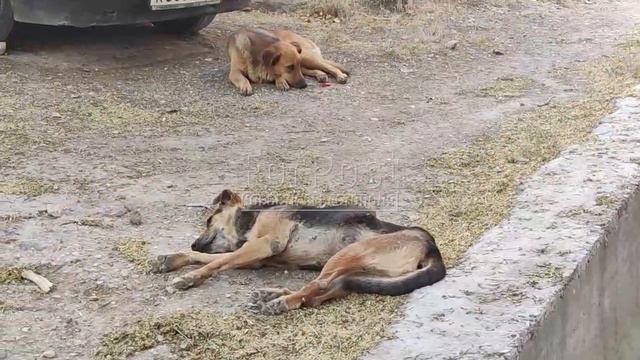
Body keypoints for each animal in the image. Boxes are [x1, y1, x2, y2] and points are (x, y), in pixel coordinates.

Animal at [153, 190, 448, 314]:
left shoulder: (265, 244)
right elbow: (215, 258)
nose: (194, 243)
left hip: (351, 253)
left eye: (208, 220)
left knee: (320, 285)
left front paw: (188, 278)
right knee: (325, 290)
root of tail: (432, 246)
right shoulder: (256, 255)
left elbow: (215, 262)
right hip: (364, 272)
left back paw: (280, 302)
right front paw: (173, 259)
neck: (252, 218)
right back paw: (272, 295)